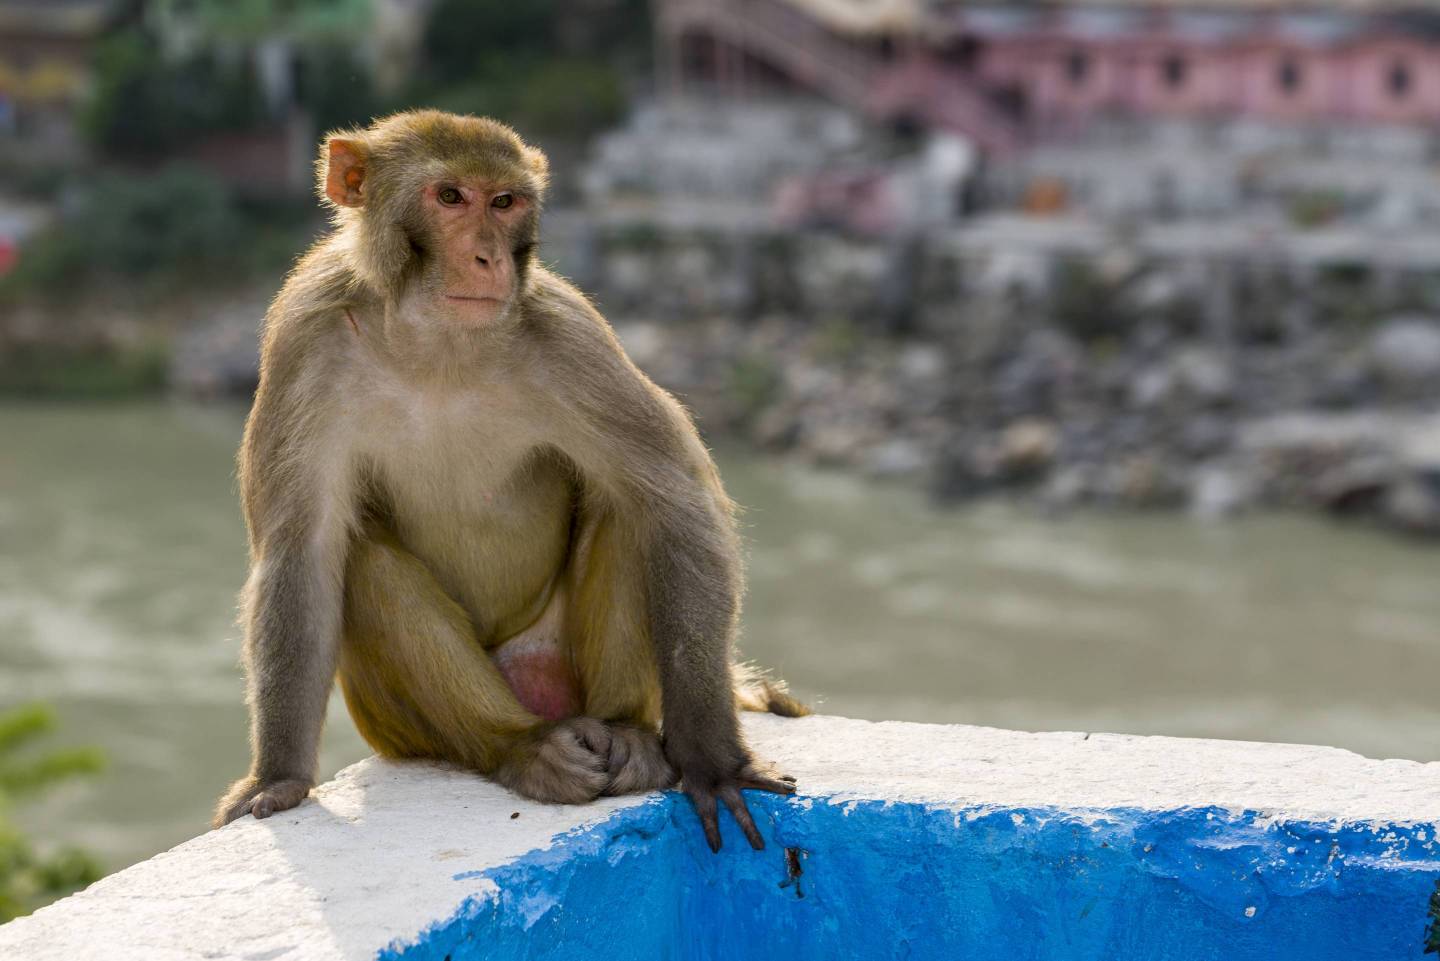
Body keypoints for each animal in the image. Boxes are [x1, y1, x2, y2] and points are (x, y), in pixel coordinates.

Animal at [212, 110, 809, 852]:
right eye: (449, 197)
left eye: (504, 202)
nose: (489, 259)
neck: (435, 340)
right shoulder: (307, 332)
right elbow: (303, 548)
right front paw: (279, 777)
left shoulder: (570, 332)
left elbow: (676, 501)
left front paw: (710, 757)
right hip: (401, 725)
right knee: (368, 563)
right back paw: (519, 746)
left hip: (559, 659)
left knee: (631, 509)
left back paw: (629, 736)